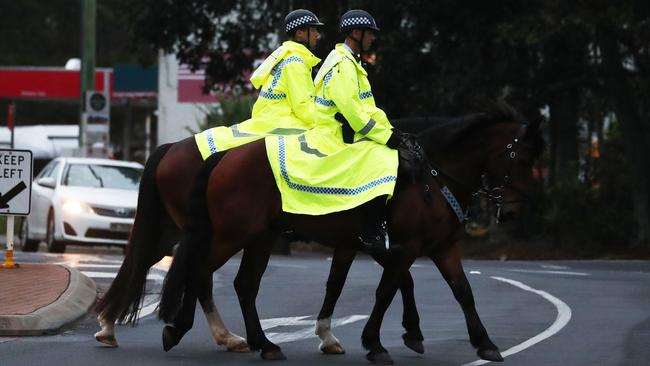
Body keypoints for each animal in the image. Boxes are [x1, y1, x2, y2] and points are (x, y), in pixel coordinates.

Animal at [159, 102, 544, 364]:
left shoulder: (441, 247)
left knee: (242, 284)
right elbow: (387, 291)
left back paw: (262, 343)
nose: (512, 212)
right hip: (232, 235)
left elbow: (462, 292)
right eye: (524, 160)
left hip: (260, 237)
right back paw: (185, 330)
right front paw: (376, 343)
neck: (432, 177)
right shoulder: (404, 248)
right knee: (199, 270)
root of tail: (225, 157)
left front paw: (485, 342)